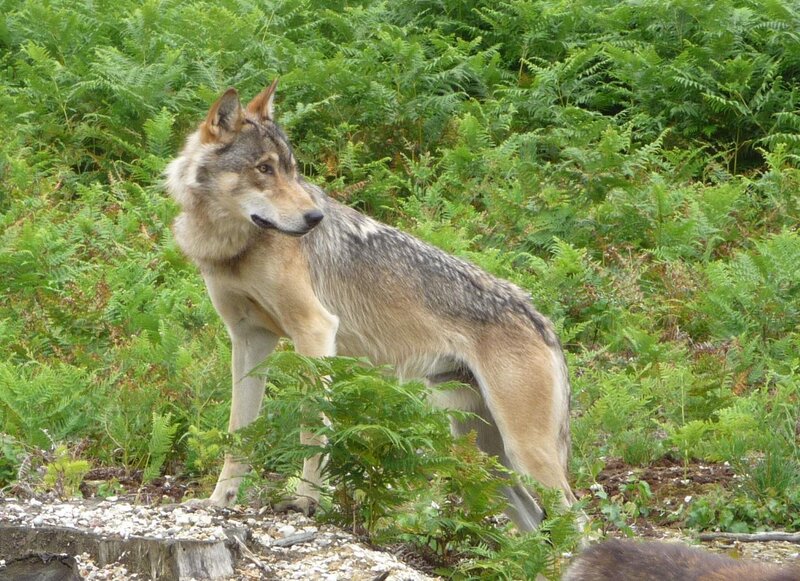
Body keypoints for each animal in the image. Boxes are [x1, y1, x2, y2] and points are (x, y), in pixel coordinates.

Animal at [165, 80, 577, 530]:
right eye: (264, 169)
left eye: (290, 169)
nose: (315, 218)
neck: (233, 249)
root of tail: (540, 319)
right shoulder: (249, 340)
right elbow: (238, 433)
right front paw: (218, 500)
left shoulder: (315, 330)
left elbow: (312, 426)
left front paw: (306, 503)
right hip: (484, 457)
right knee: (535, 518)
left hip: (524, 452)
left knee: (575, 516)